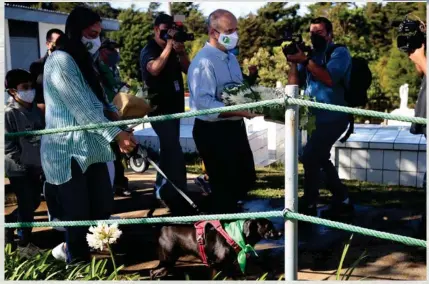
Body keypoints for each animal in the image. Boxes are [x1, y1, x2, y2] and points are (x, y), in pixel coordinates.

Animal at [150, 219, 280, 278]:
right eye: (268, 226)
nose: (280, 233)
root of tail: (163, 228)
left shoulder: (227, 266)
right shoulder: (216, 266)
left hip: (169, 261)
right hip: (167, 259)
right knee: (153, 272)